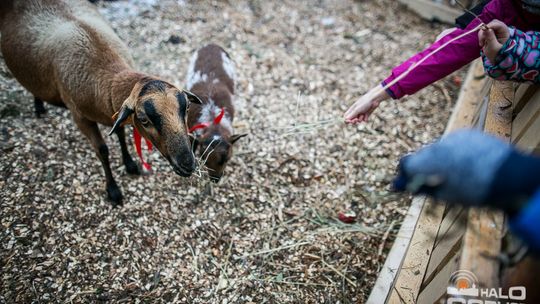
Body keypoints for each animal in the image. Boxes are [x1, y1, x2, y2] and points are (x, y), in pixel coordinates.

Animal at [0, 0, 202, 205]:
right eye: (144, 119)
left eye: (186, 108)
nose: (188, 164)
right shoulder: (80, 117)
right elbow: (102, 150)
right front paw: (113, 190)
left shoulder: (113, 112)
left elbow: (120, 133)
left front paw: (130, 164)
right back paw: (39, 107)